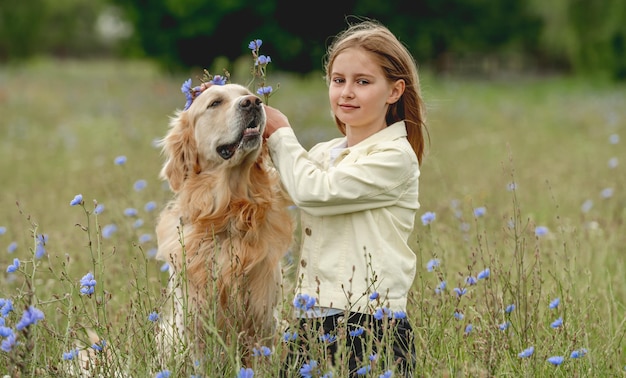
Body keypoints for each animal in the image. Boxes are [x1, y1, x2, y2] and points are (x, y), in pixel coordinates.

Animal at [155, 82, 294, 358]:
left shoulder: (262, 320)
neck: (228, 213)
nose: (253, 102)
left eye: (246, 94)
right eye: (215, 103)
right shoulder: (194, 320)